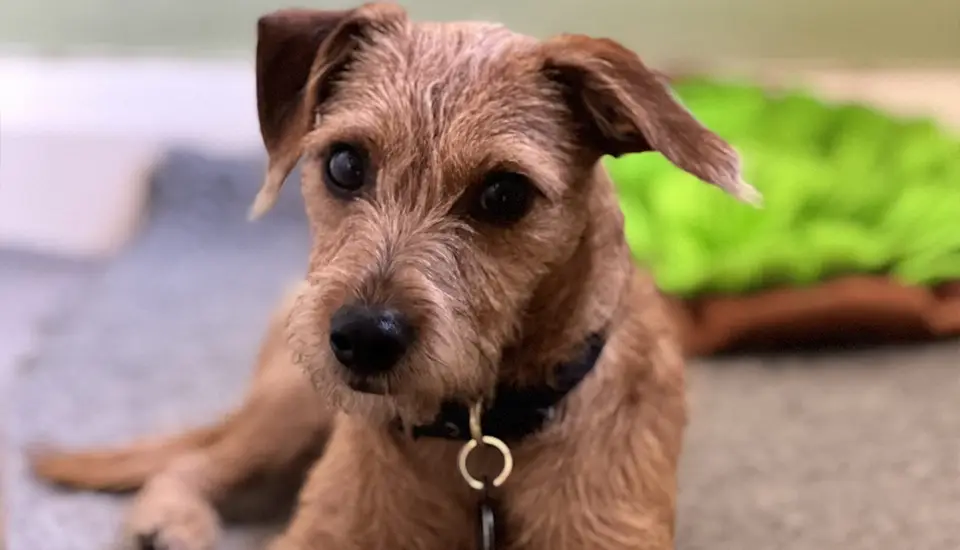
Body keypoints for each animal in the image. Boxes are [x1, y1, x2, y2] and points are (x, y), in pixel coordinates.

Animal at [30, 4, 760, 550]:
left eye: (505, 194)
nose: (362, 338)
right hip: (293, 404)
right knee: (197, 459)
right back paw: (170, 522)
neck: (480, 443)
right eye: (344, 163)